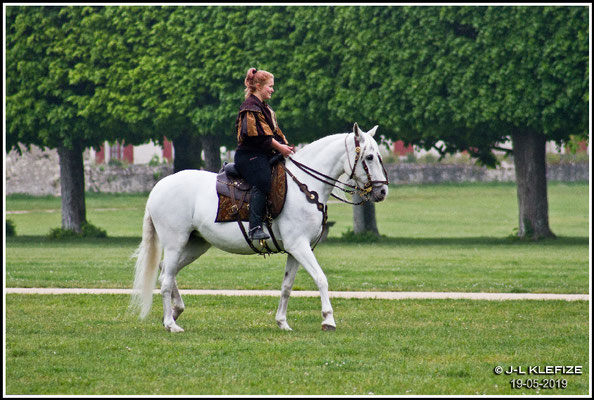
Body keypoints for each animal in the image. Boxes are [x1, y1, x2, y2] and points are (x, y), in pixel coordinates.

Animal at [131, 123, 388, 332]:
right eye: (369, 157)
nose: (383, 191)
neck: (305, 186)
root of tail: (158, 187)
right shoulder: (300, 246)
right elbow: (321, 279)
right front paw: (328, 320)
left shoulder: (296, 250)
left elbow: (287, 286)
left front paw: (282, 322)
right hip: (175, 243)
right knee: (165, 280)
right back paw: (170, 323)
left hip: (196, 244)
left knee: (166, 271)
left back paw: (176, 311)